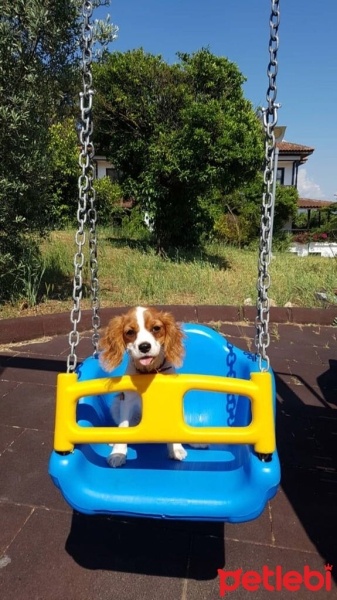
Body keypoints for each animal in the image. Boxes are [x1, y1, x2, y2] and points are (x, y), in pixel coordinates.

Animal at [100, 308, 188, 466]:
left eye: (156, 328)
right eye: (130, 332)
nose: (144, 347)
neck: (150, 372)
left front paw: (176, 448)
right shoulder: (126, 401)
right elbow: (123, 426)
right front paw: (118, 453)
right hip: (116, 405)